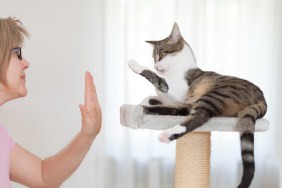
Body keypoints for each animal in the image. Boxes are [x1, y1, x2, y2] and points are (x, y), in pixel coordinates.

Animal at [128, 22, 266, 188]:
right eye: (154, 58)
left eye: (162, 55)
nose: (156, 66)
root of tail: (261, 96)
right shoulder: (173, 100)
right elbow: (151, 96)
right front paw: (144, 101)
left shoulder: (175, 90)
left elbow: (156, 79)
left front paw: (134, 64)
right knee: (182, 111)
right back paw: (144, 109)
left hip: (215, 94)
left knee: (200, 116)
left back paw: (166, 133)